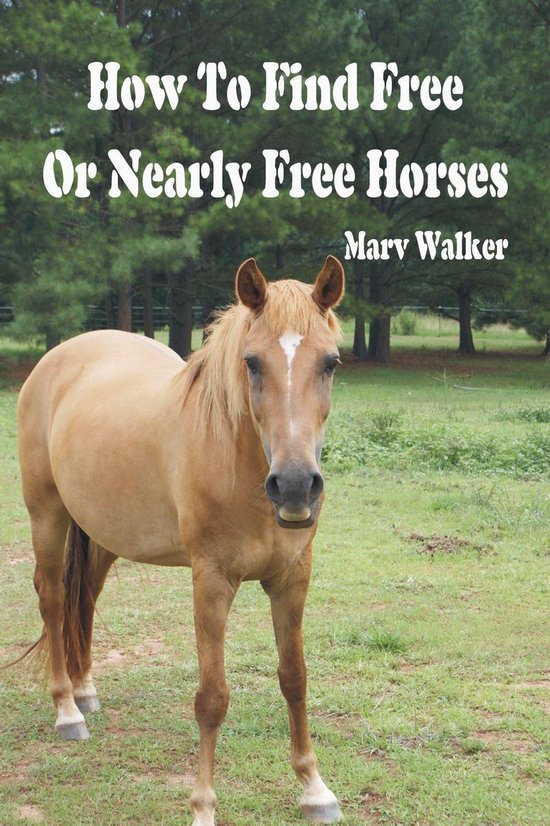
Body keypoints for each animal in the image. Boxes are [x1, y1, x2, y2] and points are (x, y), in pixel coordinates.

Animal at [16, 255, 345, 826]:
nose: (295, 486)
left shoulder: (292, 579)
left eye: (330, 362)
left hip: (102, 532)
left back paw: (85, 690)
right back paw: (66, 710)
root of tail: (56, 359)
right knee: (55, 600)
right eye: (252, 362)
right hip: (47, 516)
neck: (237, 461)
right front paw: (203, 807)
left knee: (85, 599)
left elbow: (295, 678)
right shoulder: (211, 582)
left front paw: (314, 789)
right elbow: (212, 698)